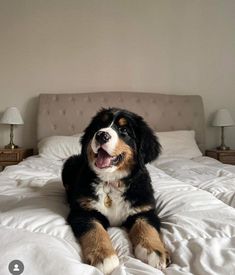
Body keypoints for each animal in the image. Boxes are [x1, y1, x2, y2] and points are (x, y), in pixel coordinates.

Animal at [61, 109, 170, 274]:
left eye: (124, 130)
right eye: (99, 126)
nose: (101, 135)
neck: (111, 181)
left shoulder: (144, 210)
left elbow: (147, 227)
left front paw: (155, 252)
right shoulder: (83, 212)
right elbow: (96, 231)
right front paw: (103, 256)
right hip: (69, 164)